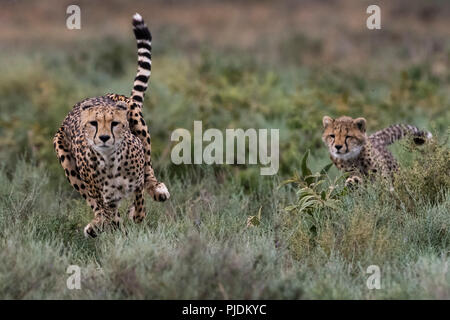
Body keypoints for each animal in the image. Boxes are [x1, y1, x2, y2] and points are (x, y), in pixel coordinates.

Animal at [53, 13, 170, 238]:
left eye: (115, 124)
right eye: (93, 124)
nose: (104, 137)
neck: (110, 160)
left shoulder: (135, 180)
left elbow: (139, 197)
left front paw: (136, 214)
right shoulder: (102, 195)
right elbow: (107, 211)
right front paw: (108, 225)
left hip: (139, 125)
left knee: (149, 171)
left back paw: (158, 190)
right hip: (65, 158)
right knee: (94, 202)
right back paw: (97, 225)